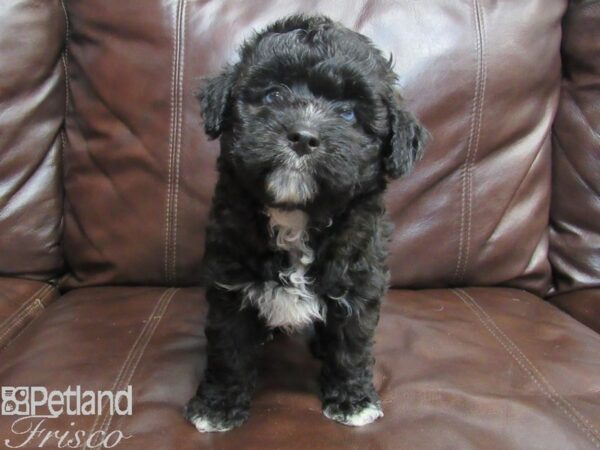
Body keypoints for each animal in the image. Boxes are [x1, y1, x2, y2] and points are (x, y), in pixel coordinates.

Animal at [185, 14, 424, 432]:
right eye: (273, 96)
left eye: (348, 113)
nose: (303, 136)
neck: (295, 215)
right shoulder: (230, 282)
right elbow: (228, 348)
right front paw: (217, 407)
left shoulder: (359, 280)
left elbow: (352, 345)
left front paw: (353, 401)